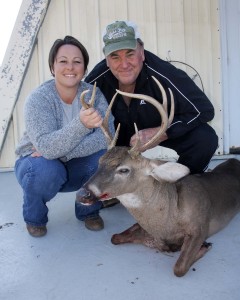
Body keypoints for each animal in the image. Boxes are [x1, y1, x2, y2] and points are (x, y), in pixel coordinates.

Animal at [76, 77, 240, 276]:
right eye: (100, 161)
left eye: (124, 170)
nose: (82, 194)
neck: (168, 218)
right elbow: (115, 237)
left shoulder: (200, 226)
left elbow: (179, 268)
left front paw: (203, 246)